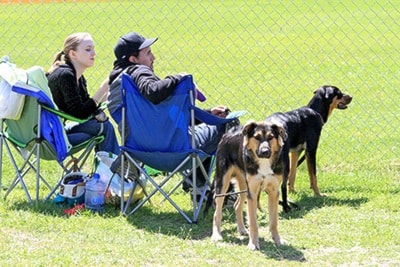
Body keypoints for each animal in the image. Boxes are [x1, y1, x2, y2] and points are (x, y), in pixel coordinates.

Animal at [206, 121, 288, 251]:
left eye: (271, 137)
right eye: (257, 137)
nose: (265, 152)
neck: (263, 163)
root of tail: (229, 132)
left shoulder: (274, 192)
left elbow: (274, 222)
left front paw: (278, 240)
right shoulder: (253, 192)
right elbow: (253, 223)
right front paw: (253, 244)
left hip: (244, 186)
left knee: (236, 205)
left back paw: (242, 229)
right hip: (222, 183)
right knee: (217, 211)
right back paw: (216, 235)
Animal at [266, 85, 354, 213]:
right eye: (339, 93)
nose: (351, 97)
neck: (315, 111)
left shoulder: (296, 152)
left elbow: (293, 173)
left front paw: (293, 191)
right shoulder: (311, 150)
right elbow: (313, 175)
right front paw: (318, 194)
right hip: (283, 162)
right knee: (281, 186)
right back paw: (287, 207)